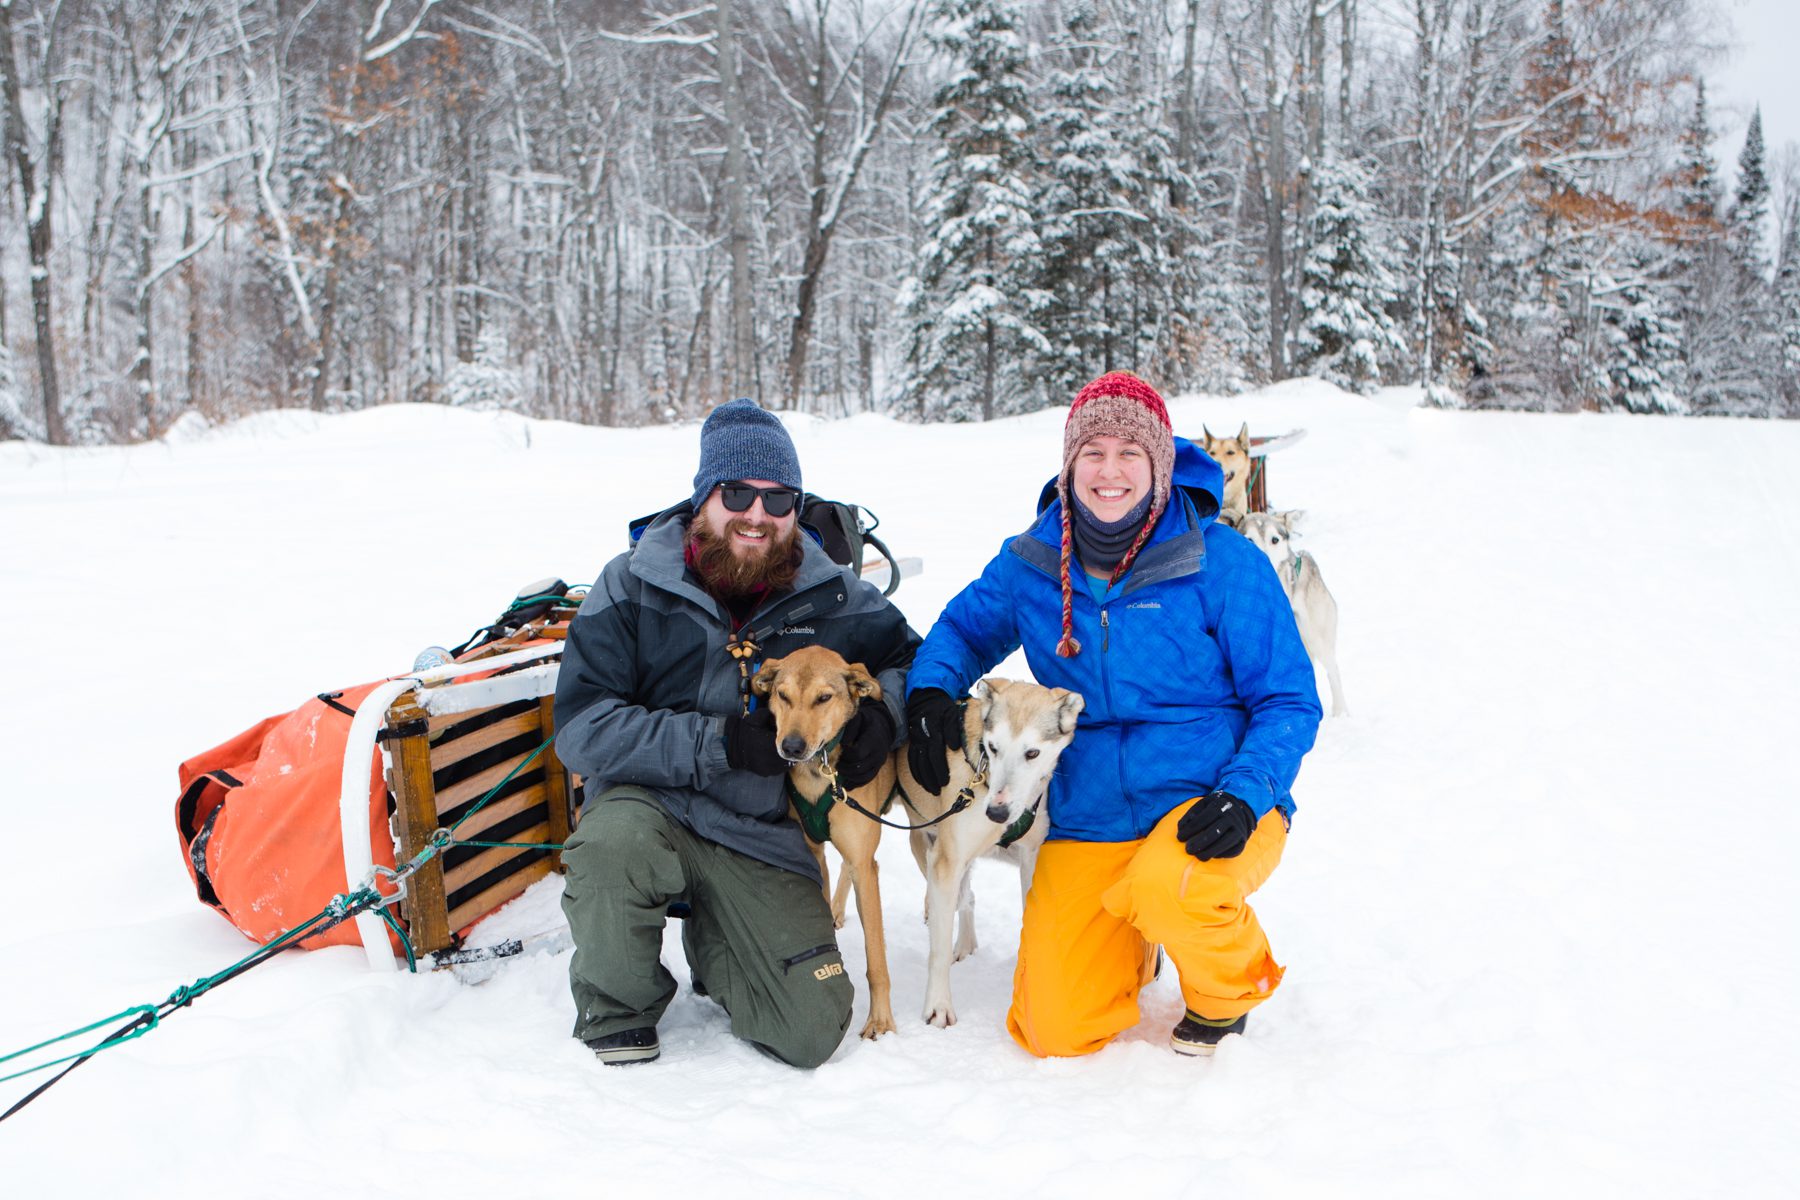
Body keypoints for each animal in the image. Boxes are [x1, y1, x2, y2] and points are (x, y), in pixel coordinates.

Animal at [752, 647, 900, 1043]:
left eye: (823, 698)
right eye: (782, 695)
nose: (791, 746)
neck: (821, 772)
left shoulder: (864, 861)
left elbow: (877, 958)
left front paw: (880, 1021)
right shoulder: (814, 853)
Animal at [896, 680, 1080, 1029]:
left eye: (1032, 753)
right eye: (993, 748)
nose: (996, 812)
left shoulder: (1030, 858)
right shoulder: (946, 861)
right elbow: (938, 951)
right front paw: (938, 1007)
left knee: (966, 897)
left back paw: (966, 943)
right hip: (926, 845)